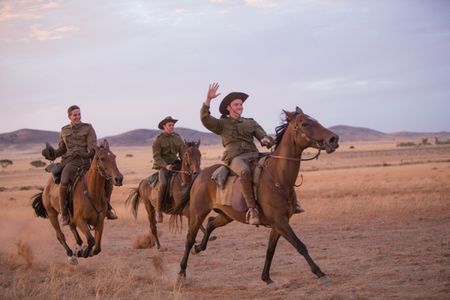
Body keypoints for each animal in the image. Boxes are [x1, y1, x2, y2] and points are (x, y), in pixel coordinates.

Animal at [173, 107, 342, 284]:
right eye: (305, 124)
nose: (333, 139)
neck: (278, 176)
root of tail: (199, 175)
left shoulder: (278, 223)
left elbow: (270, 250)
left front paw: (266, 277)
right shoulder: (280, 221)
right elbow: (300, 245)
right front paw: (320, 273)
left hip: (227, 215)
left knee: (211, 223)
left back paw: (199, 248)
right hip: (197, 213)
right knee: (189, 239)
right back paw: (182, 272)